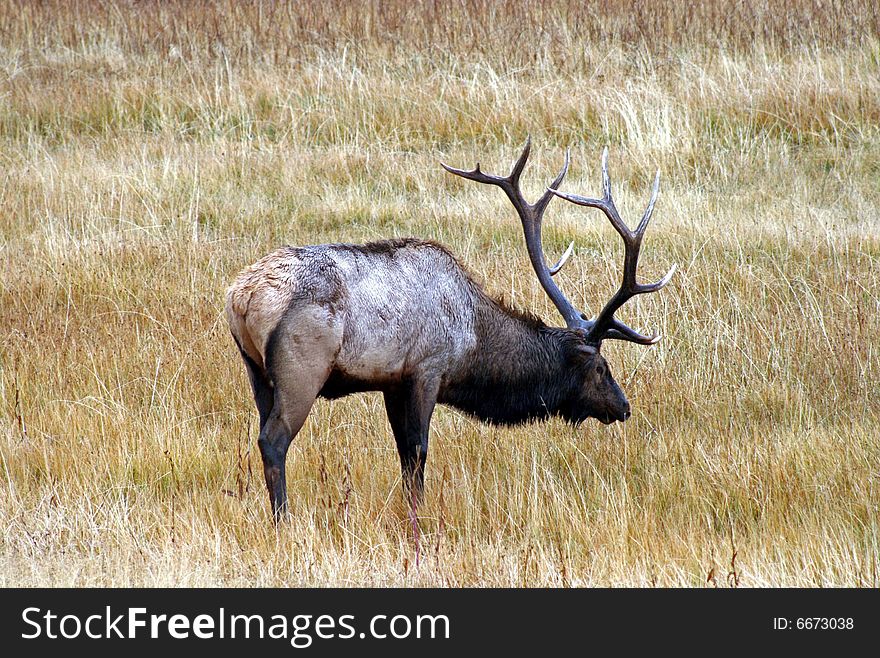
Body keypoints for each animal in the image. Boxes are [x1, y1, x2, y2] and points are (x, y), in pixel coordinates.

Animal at [225, 141, 672, 520]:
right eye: (600, 367)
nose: (623, 406)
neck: (474, 340)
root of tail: (241, 297)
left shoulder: (392, 381)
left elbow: (403, 454)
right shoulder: (429, 368)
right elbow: (418, 452)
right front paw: (417, 520)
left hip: (255, 371)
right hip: (301, 368)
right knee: (273, 440)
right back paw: (283, 520)